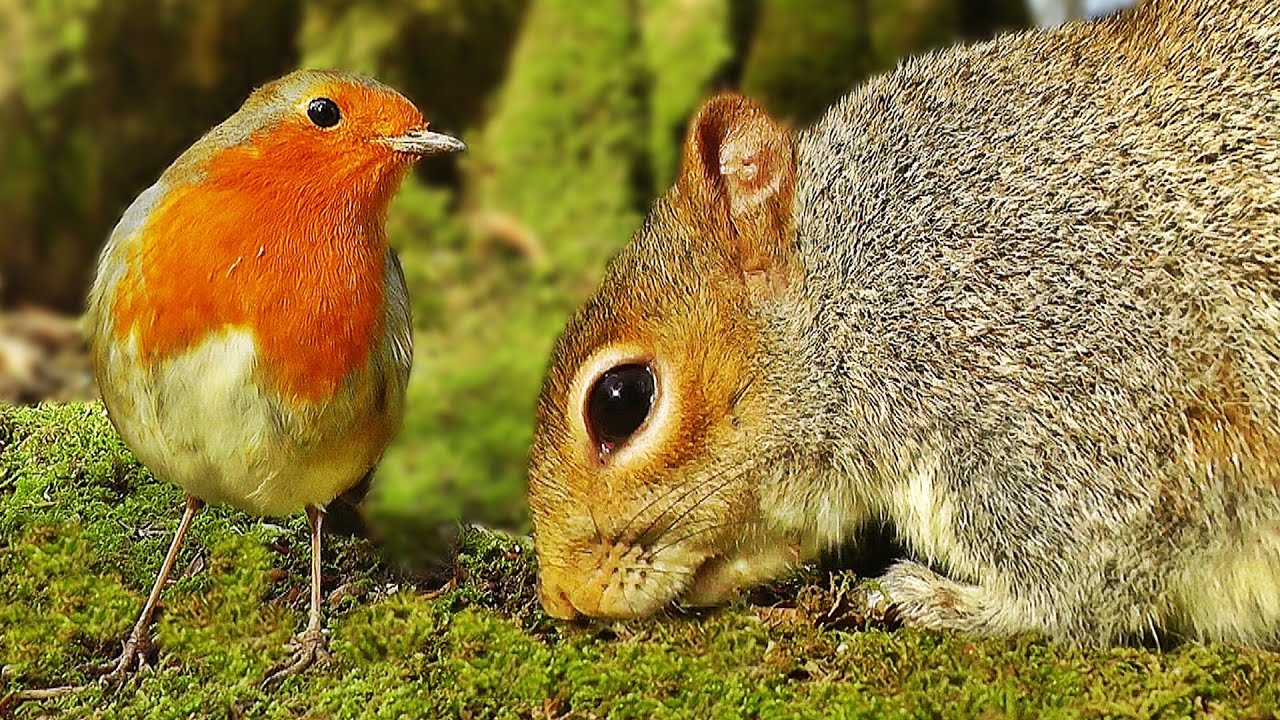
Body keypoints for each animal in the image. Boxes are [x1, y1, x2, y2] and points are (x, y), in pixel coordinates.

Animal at [526, 0, 1280, 647]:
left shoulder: (1073, 380)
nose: (560, 597)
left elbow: (1086, 586)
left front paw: (939, 601)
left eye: (621, 400)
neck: (858, 292)